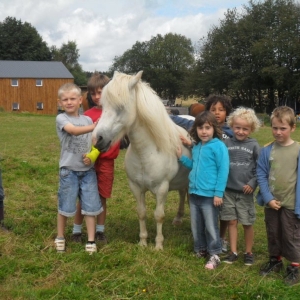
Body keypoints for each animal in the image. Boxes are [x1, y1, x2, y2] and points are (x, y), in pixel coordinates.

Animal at [92, 71, 191, 250]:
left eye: (121, 107)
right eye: (103, 106)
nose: (97, 139)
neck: (146, 152)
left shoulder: (162, 189)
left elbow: (159, 215)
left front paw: (158, 245)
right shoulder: (136, 187)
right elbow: (142, 213)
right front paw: (143, 242)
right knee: (181, 193)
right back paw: (178, 218)